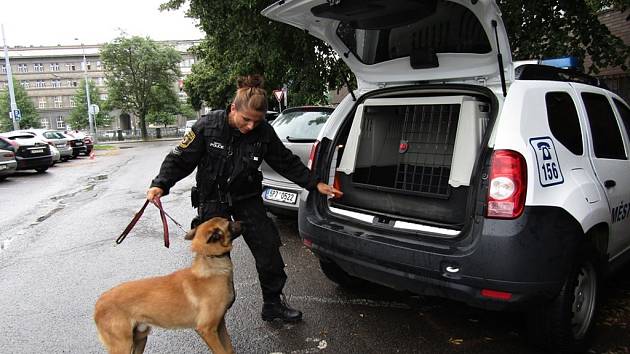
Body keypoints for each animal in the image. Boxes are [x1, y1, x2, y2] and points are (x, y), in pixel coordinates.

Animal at [94, 216, 242, 354]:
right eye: (229, 223)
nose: (244, 222)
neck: (211, 263)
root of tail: (98, 303)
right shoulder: (206, 330)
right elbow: (221, 351)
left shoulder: (220, 324)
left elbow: (229, 349)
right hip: (122, 345)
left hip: (140, 338)